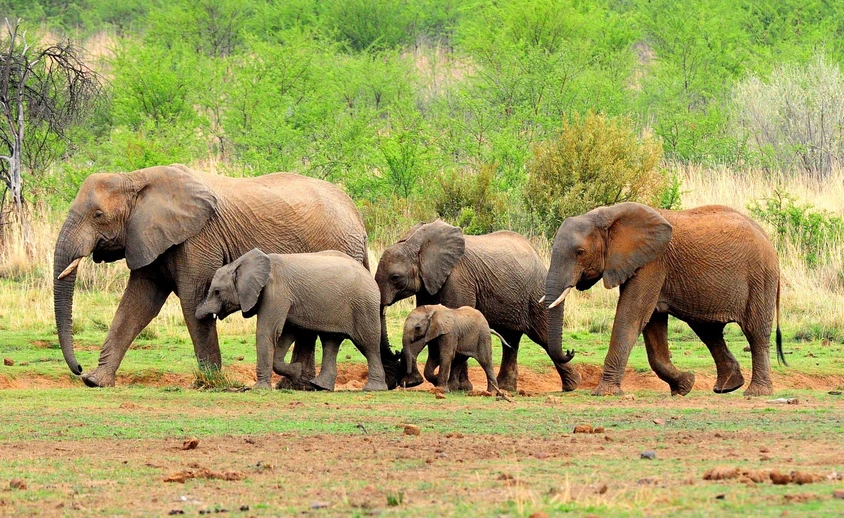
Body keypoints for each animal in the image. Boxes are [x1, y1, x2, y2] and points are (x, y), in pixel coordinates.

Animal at [195, 249, 387, 391]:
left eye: (217, 292)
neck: (242, 263)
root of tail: (369, 273)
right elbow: (287, 332)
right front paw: (296, 371)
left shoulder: (276, 293)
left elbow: (269, 331)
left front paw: (260, 389)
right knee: (330, 341)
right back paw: (320, 386)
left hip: (363, 305)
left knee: (368, 344)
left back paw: (373, 388)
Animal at [375, 219, 580, 392]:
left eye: (395, 277)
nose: (396, 352)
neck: (416, 243)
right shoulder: (429, 282)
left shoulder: (458, 278)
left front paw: (460, 388)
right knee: (510, 340)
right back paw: (507, 388)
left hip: (536, 293)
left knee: (542, 336)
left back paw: (572, 386)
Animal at [544, 202, 783, 397]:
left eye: (580, 252)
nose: (570, 351)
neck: (609, 214)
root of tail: (766, 237)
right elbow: (652, 323)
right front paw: (685, 386)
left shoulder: (652, 263)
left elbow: (632, 316)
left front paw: (605, 393)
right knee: (708, 331)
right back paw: (728, 387)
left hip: (760, 278)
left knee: (755, 332)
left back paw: (756, 392)